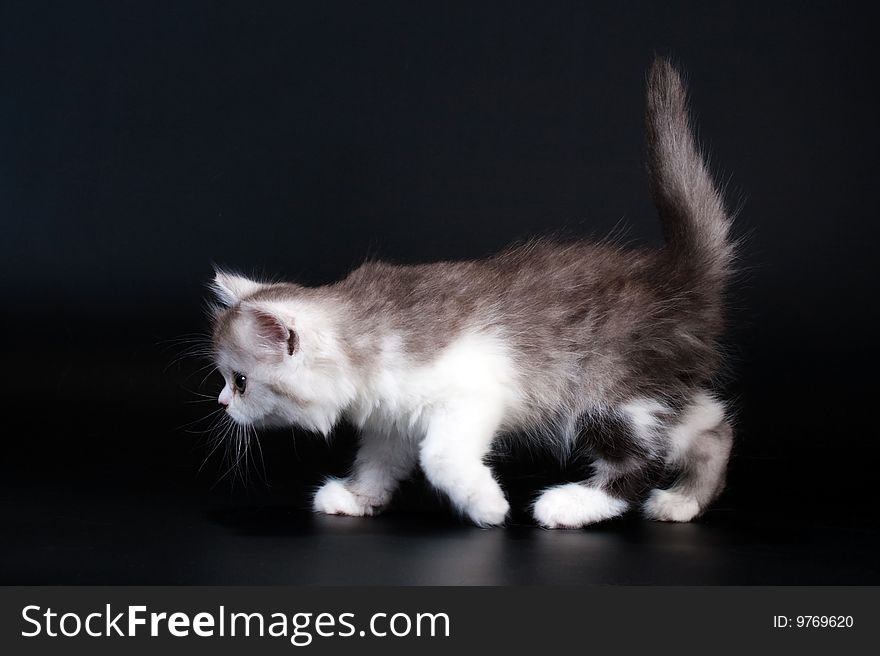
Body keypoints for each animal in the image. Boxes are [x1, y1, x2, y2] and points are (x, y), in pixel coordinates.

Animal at [208, 57, 736, 528]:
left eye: (240, 380)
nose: (221, 402)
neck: (367, 332)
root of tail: (675, 277)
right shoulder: (392, 418)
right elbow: (380, 461)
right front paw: (358, 498)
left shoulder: (475, 391)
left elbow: (439, 456)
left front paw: (487, 505)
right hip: (653, 393)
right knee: (714, 426)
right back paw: (684, 503)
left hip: (605, 391)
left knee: (640, 461)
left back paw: (569, 506)